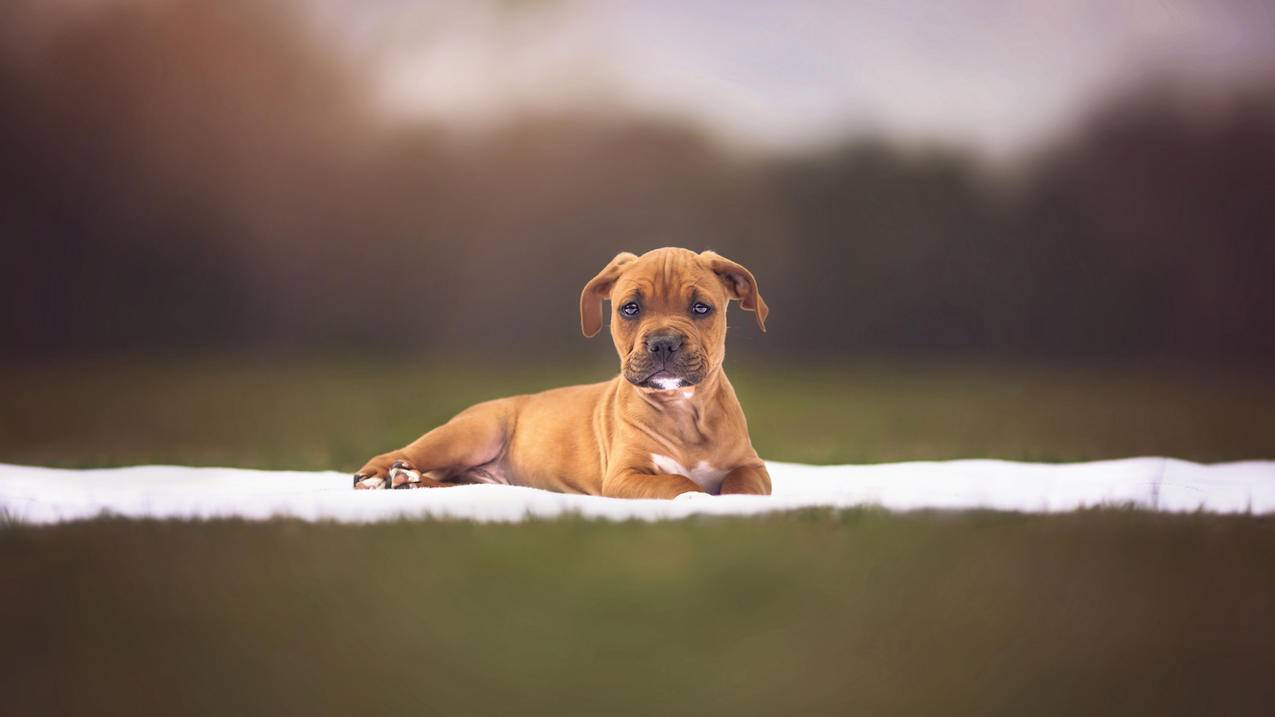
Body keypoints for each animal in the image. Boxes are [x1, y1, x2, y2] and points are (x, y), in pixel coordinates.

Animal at [354, 244, 770, 497]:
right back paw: (380, 476)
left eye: (701, 308)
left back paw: (408, 481)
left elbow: (743, 483)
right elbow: (681, 485)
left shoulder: (753, 466)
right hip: (471, 434)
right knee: (406, 452)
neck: (683, 410)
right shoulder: (625, 476)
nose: (663, 342)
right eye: (630, 308)